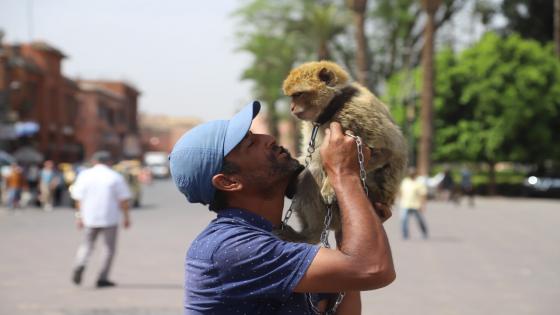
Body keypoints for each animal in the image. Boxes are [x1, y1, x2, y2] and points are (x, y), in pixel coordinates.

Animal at [276, 61, 406, 244]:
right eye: (292, 97)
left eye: (299, 94)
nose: (292, 108)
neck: (334, 106)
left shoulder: (356, 113)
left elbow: (390, 150)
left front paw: (331, 186)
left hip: (367, 198)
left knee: (311, 174)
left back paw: (311, 234)